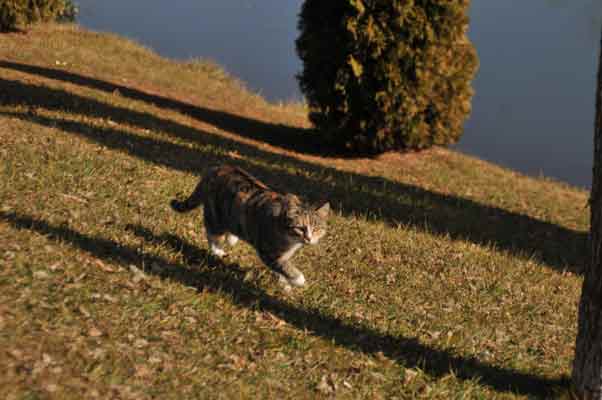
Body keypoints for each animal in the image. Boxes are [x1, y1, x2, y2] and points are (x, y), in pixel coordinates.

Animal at [169, 164, 328, 290]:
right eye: (300, 228)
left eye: (317, 229)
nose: (308, 238)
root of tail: (217, 169)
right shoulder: (267, 250)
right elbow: (282, 265)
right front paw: (298, 279)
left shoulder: (284, 253)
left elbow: (281, 267)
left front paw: (284, 283)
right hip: (216, 213)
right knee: (213, 232)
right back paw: (218, 250)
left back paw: (232, 238)